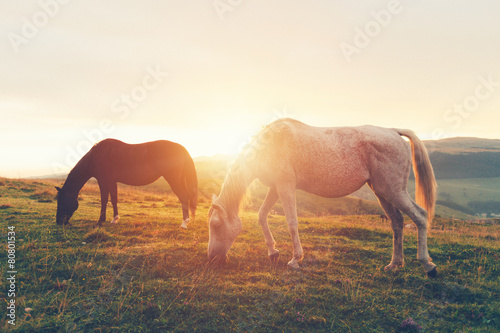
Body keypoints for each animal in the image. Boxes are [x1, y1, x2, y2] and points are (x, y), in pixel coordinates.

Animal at [57, 139, 198, 227]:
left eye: (62, 201)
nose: (59, 222)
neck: (95, 156)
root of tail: (181, 148)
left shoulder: (103, 181)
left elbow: (104, 200)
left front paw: (100, 221)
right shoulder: (112, 181)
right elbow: (114, 199)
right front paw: (114, 219)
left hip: (173, 178)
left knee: (183, 196)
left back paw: (184, 223)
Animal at [209, 118, 436, 276]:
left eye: (216, 225)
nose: (211, 258)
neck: (268, 144)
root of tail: (393, 132)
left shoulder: (285, 186)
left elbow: (292, 222)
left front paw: (295, 259)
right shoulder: (275, 188)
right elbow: (262, 215)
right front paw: (273, 252)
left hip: (393, 191)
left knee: (420, 216)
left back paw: (427, 264)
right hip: (382, 192)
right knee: (397, 222)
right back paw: (394, 264)